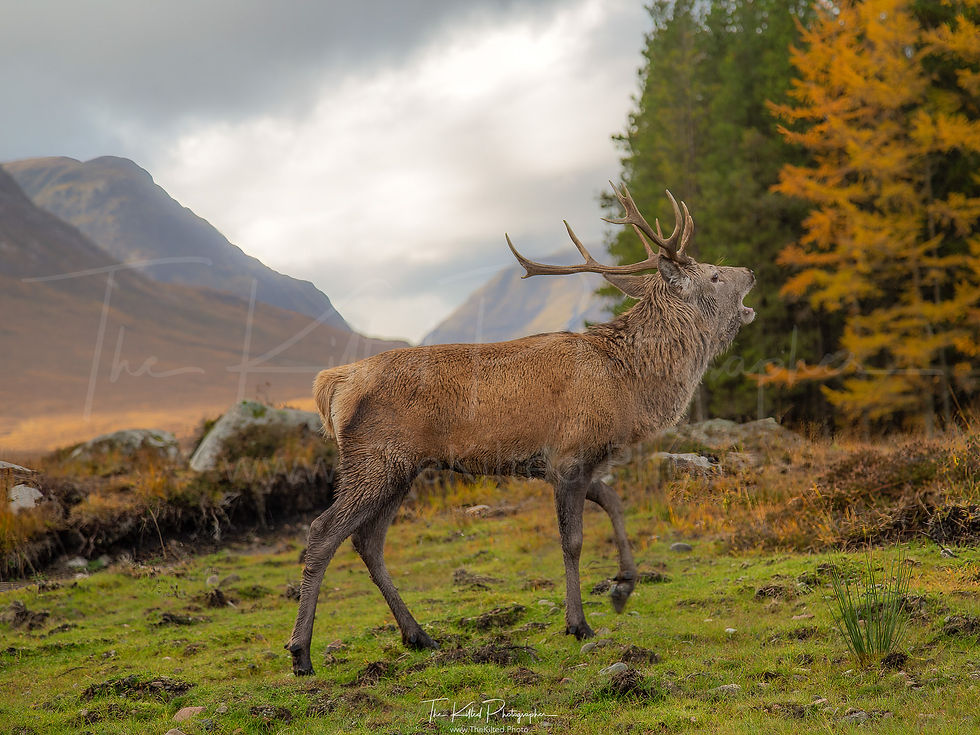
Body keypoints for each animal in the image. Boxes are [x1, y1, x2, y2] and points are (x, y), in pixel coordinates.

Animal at [286, 182, 756, 676]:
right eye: (714, 276)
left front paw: (624, 586)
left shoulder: (577, 463)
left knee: (368, 541)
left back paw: (419, 636)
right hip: (377, 458)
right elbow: (572, 541)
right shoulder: (570, 455)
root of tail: (333, 383)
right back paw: (302, 653)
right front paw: (579, 624)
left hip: (401, 468)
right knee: (323, 532)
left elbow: (614, 502)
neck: (629, 385)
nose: (750, 271)